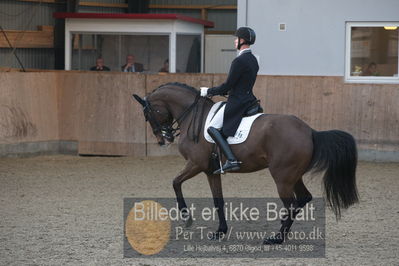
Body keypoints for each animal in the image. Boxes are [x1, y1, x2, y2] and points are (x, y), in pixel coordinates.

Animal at [134, 82, 360, 244]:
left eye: (148, 114)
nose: (163, 139)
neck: (192, 116)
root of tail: (309, 131)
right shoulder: (211, 171)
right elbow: (218, 200)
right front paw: (220, 232)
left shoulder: (195, 164)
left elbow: (175, 183)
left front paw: (186, 217)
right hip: (293, 176)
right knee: (303, 198)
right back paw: (281, 232)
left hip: (282, 177)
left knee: (291, 204)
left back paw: (277, 238)